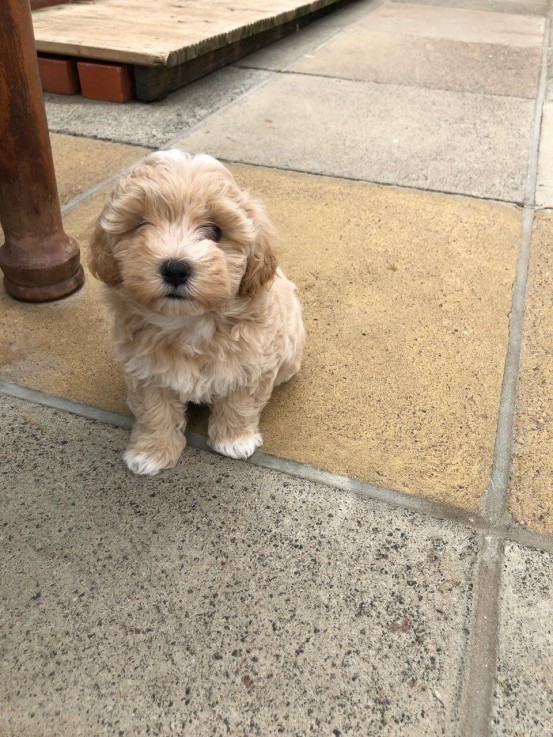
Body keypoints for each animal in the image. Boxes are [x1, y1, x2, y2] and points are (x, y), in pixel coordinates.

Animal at [88, 150, 304, 474]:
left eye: (216, 231)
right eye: (141, 225)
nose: (175, 268)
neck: (189, 322)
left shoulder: (253, 362)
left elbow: (240, 402)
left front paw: (234, 439)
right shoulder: (145, 372)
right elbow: (155, 412)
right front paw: (152, 451)